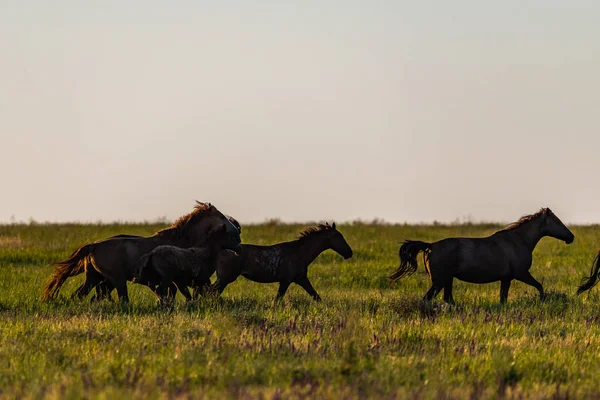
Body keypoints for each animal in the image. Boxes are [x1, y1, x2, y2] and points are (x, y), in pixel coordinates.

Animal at [41, 202, 241, 302]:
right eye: (222, 217)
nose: (238, 234)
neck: (181, 242)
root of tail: (94, 245)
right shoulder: (174, 279)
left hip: (96, 278)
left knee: (81, 295)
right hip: (116, 280)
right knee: (120, 298)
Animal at [392, 208, 576, 304]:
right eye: (557, 221)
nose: (571, 237)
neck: (519, 240)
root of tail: (429, 246)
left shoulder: (506, 278)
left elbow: (503, 299)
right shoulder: (521, 274)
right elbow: (539, 287)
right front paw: (542, 301)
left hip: (447, 280)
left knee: (447, 299)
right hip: (439, 281)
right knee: (428, 299)